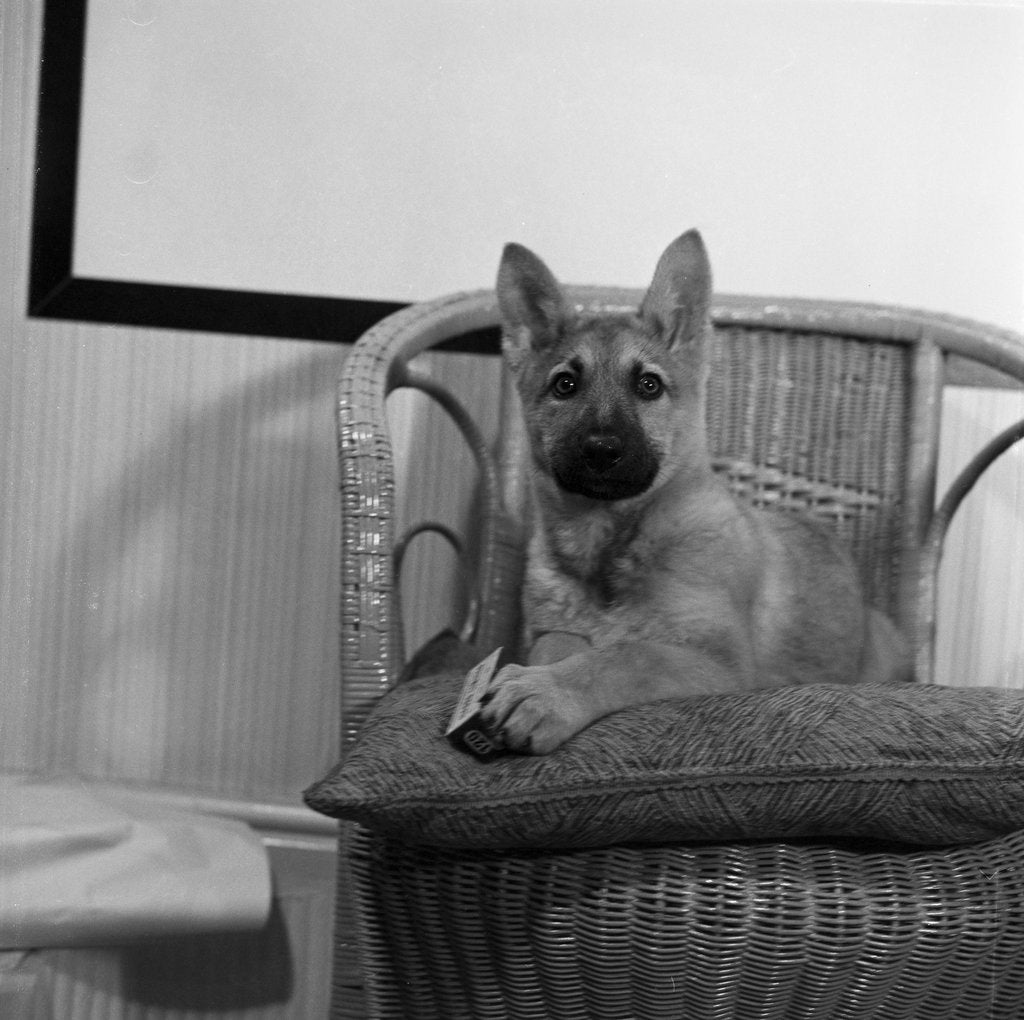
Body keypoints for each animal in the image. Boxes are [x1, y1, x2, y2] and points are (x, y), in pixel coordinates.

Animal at [481, 233, 913, 757]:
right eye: (565, 384)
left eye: (648, 385)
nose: (601, 450)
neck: (610, 540)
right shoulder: (550, 630)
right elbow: (561, 645)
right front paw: (538, 679)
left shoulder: (719, 663)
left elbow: (628, 655)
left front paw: (548, 693)